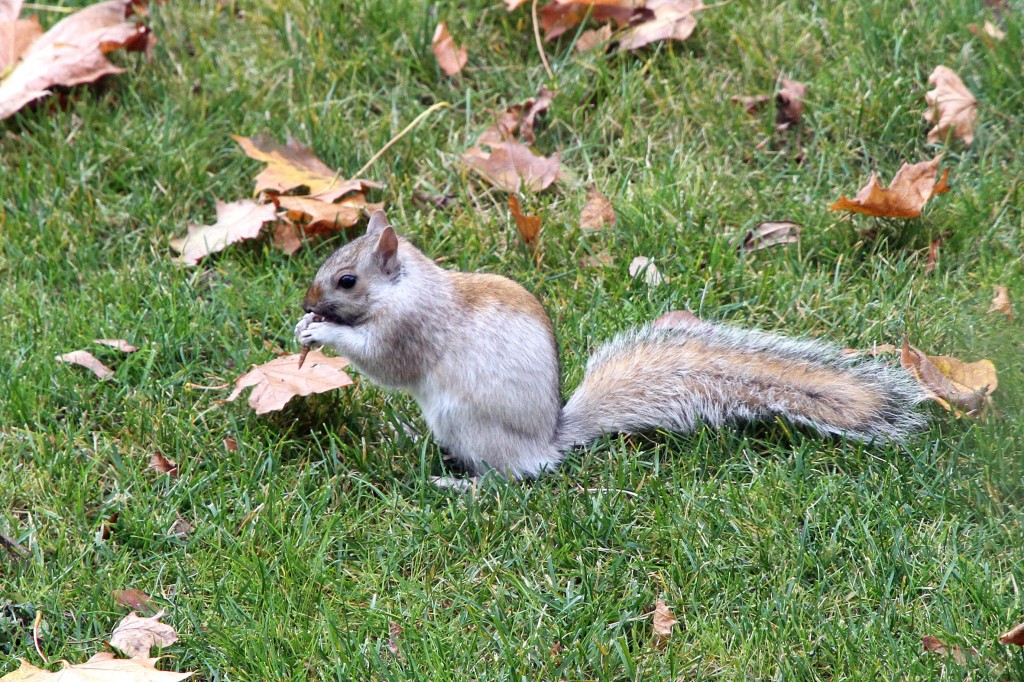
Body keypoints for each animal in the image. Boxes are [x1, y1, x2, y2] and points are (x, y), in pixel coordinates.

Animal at [295, 210, 927, 479]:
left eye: (347, 280)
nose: (306, 300)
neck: (410, 286)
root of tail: (546, 443)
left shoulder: (411, 329)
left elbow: (383, 361)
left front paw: (323, 332)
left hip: (469, 422)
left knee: (509, 479)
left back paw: (462, 484)